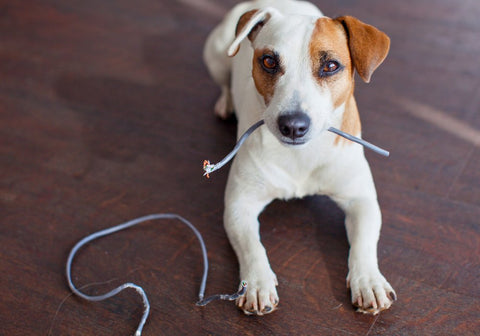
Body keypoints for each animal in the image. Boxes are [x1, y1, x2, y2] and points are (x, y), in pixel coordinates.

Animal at [202, 0, 394, 316]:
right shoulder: (239, 206)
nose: (293, 125)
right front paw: (257, 283)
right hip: (217, 54)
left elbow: (364, 244)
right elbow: (252, 246)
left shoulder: (361, 201)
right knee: (224, 81)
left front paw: (368, 281)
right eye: (269, 61)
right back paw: (225, 102)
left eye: (331, 66)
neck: (300, 155)